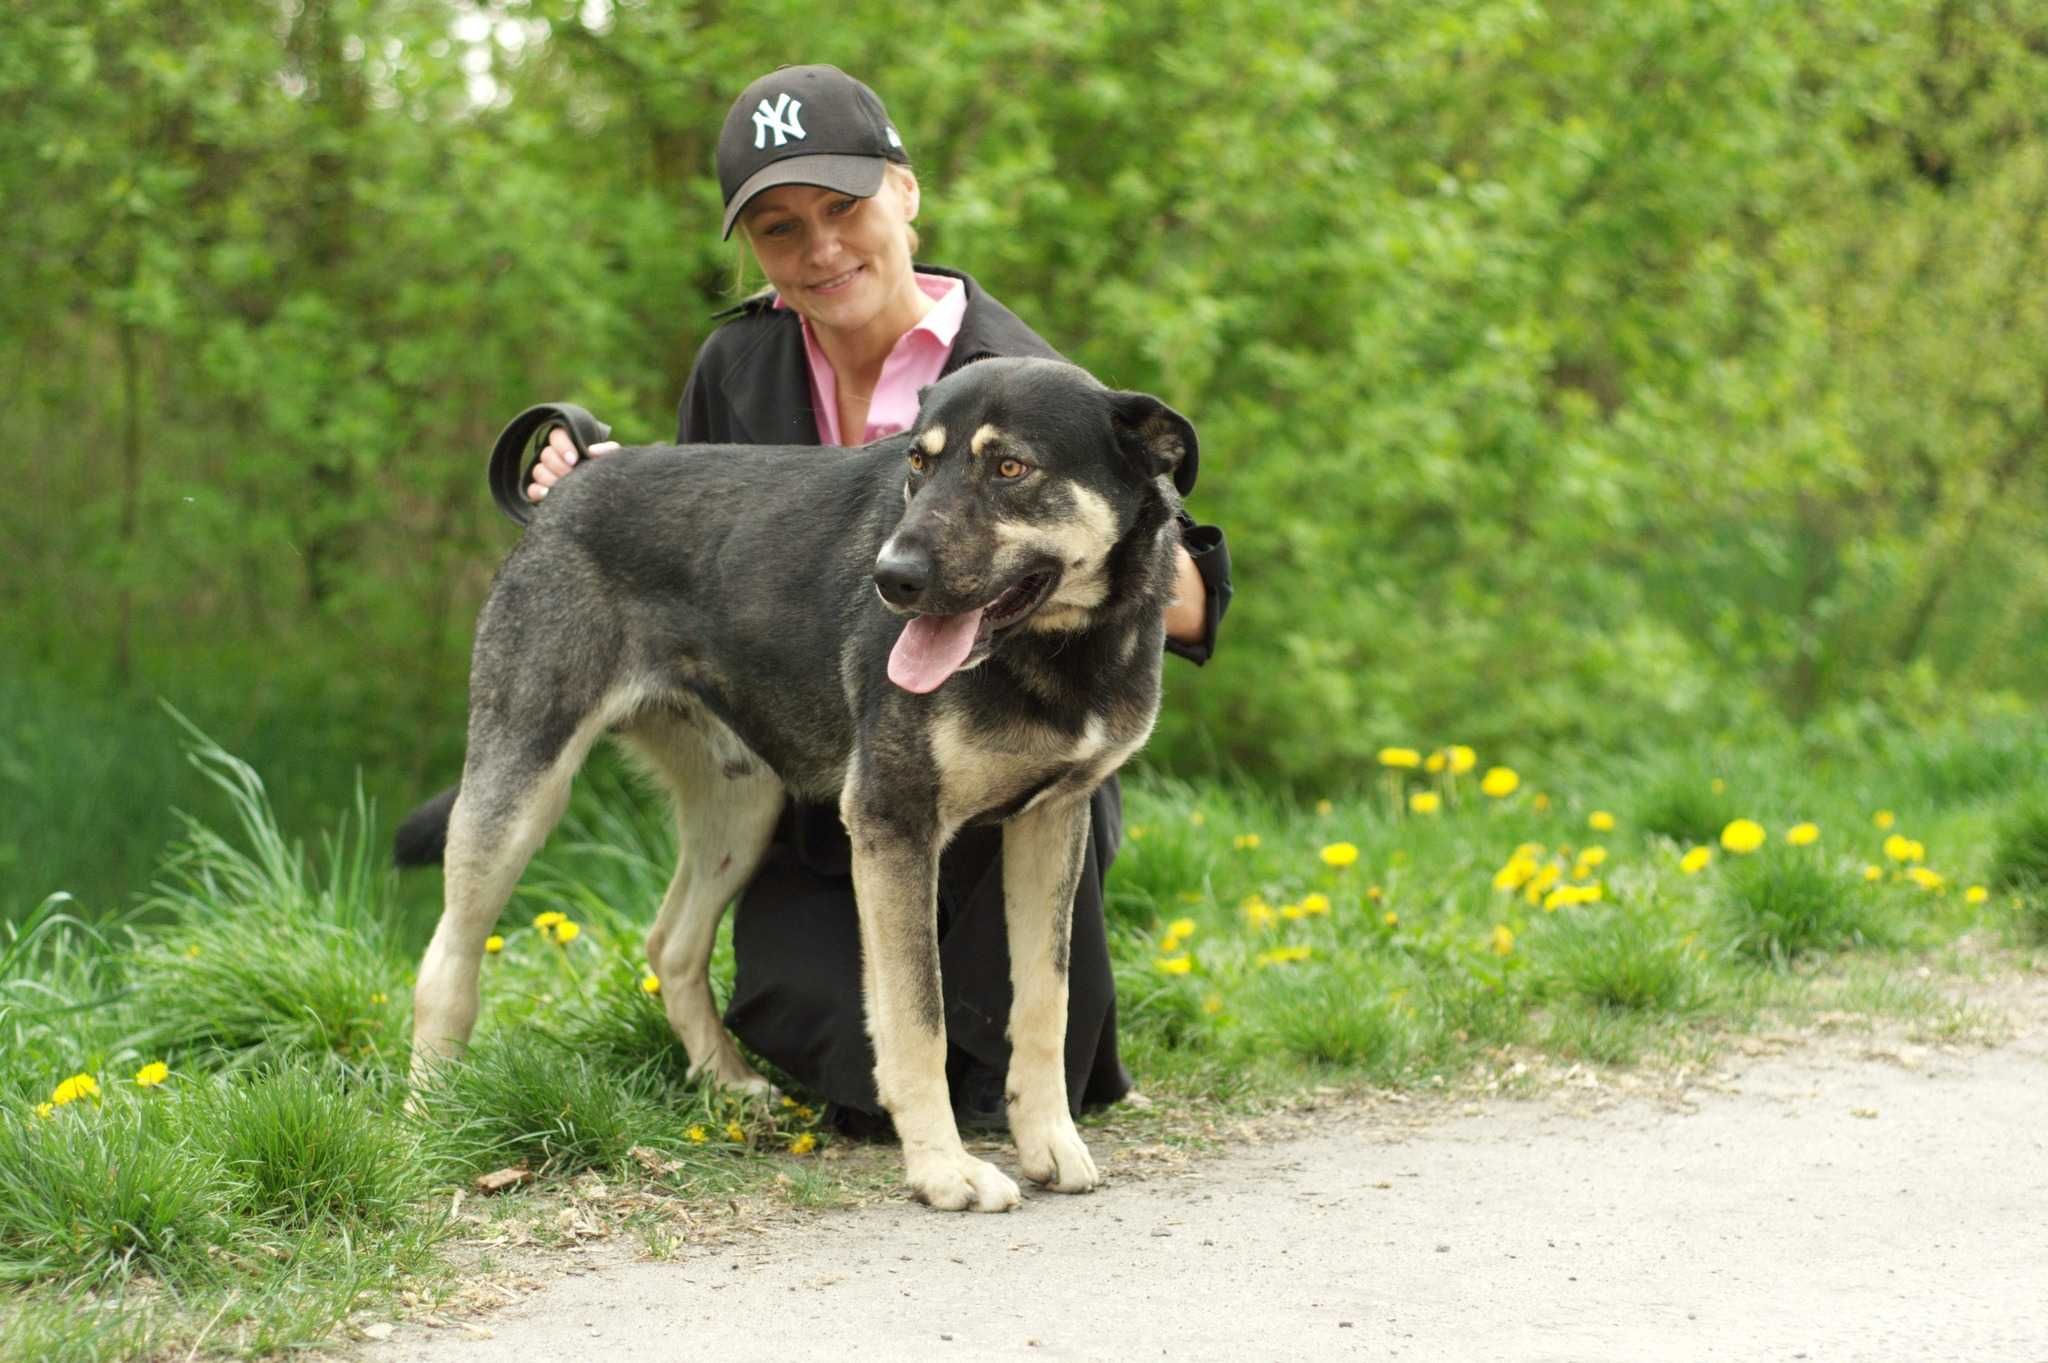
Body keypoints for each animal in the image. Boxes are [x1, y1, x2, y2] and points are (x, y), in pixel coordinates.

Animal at [405, 356, 1196, 1203]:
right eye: (919, 463)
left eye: (1010, 468)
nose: (890, 578)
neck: (1054, 653)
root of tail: (577, 476)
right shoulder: (894, 822)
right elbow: (919, 1017)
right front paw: (943, 1169)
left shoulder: (1051, 823)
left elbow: (1045, 1001)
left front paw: (1048, 1137)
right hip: (522, 784)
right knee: (445, 962)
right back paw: (431, 1111)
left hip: (742, 807)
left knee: (671, 944)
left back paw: (728, 1084)